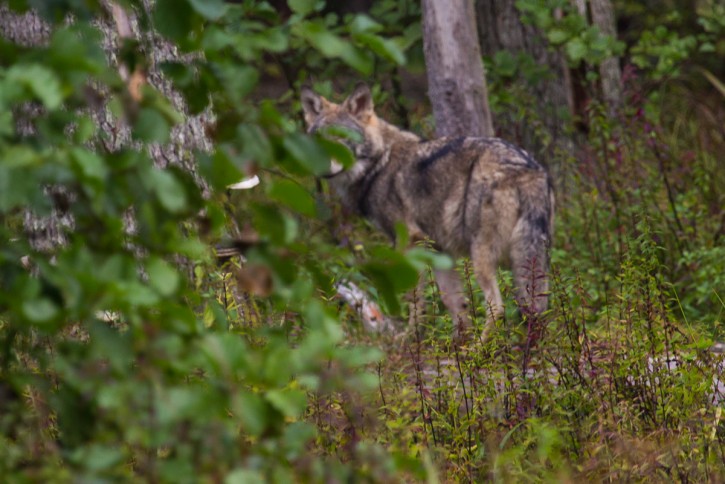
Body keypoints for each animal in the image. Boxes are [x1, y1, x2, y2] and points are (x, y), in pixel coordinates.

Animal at [300, 83, 556, 340]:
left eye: (343, 139)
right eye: (318, 139)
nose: (322, 166)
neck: (379, 163)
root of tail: (528, 169)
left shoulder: (409, 242)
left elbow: (415, 298)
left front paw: (410, 340)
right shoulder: (439, 250)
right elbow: (455, 303)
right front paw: (458, 343)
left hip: (482, 256)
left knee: (498, 307)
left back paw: (481, 347)